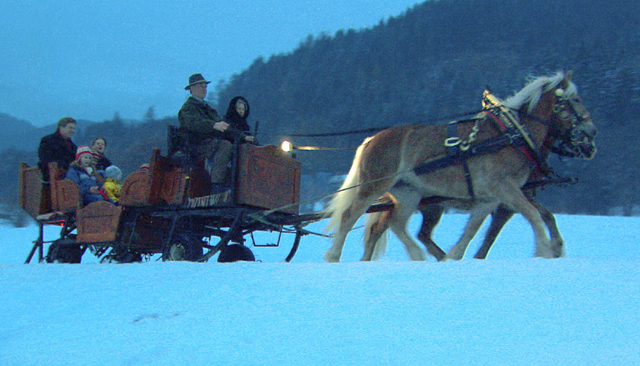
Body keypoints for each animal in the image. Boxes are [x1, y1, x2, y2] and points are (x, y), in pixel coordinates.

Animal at [328, 71, 596, 260]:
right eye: (576, 99)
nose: (592, 134)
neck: (512, 135)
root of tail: (371, 139)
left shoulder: (490, 198)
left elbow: (474, 229)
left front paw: (454, 256)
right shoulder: (505, 189)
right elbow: (533, 215)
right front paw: (545, 251)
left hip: (409, 193)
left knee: (395, 223)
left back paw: (415, 256)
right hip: (374, 186)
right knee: (350, 217)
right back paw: (334, 257)